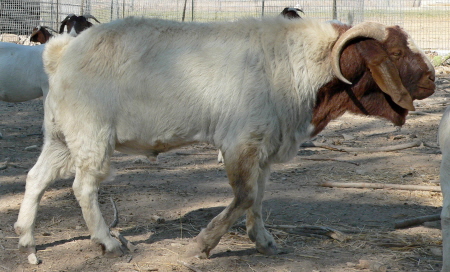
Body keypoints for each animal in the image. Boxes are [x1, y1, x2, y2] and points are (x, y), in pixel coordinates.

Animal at [15, 15, 434, 260]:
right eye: (397, 52)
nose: (431, 79)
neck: (296, 62)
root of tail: (62, 52)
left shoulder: (264, 146)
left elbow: (260, 197)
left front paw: (263, 240)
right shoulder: (241, 142)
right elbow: (245, 195)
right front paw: (202, 245)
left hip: (61, 136)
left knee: (36, 178)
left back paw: (26, 239)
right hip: (91, 133)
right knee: (83, 186)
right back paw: (107, 242)